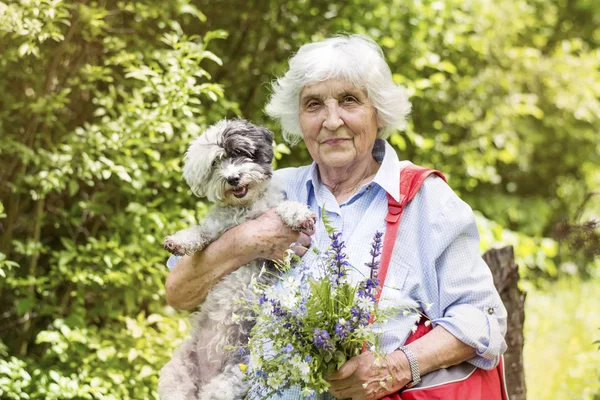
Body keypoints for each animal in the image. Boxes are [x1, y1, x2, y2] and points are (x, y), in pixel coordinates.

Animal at [157, 119, 316, 400]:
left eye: (241, 153)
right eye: (215, 163)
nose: (232, 178)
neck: (244, 210)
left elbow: (284, 208)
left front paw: (299, 214)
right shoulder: (215, 231)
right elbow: (198, 232)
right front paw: (178, 241)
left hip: (231, 380)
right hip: (177, 376)